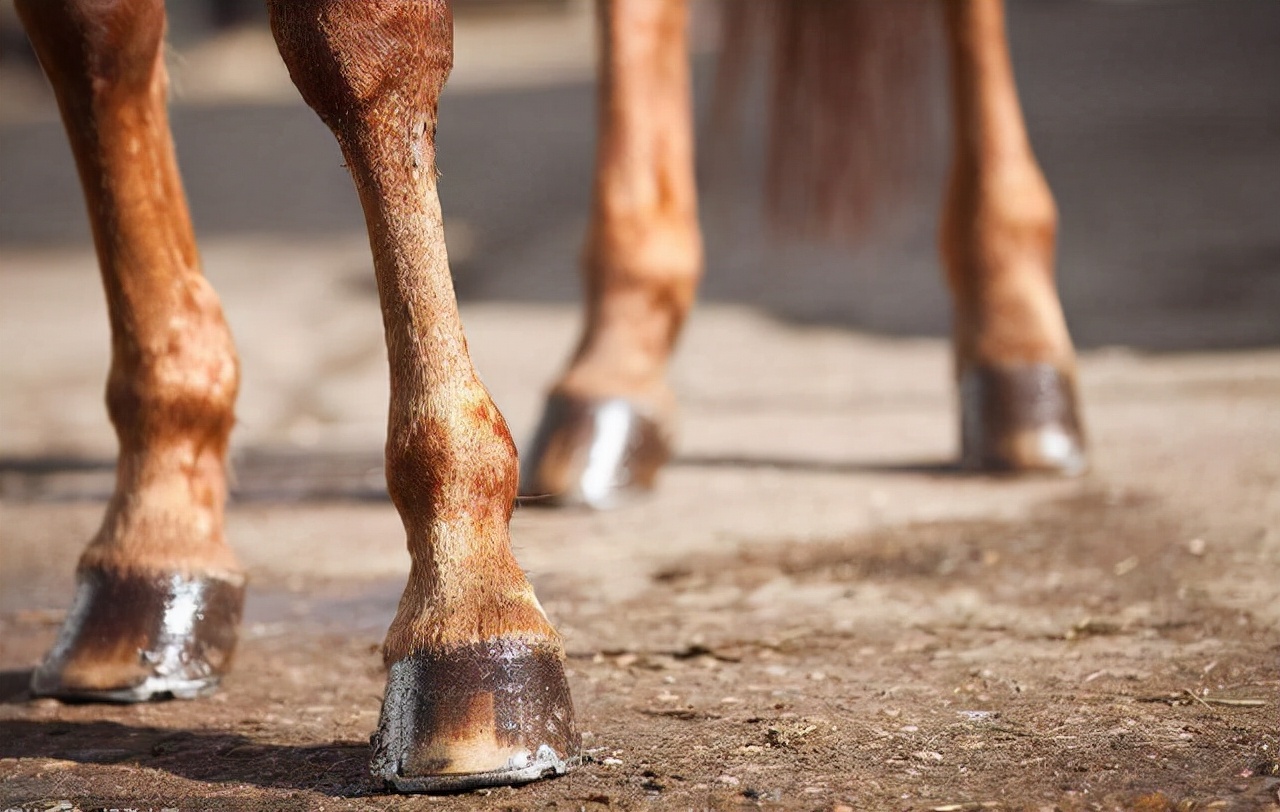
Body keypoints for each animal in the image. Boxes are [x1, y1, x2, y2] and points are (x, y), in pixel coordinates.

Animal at [15, 0, 1085, 788]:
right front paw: (157, 541)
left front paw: (468, 610)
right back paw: (617, 374)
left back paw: (1019, 357)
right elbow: (93, 34)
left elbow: (355, 38)